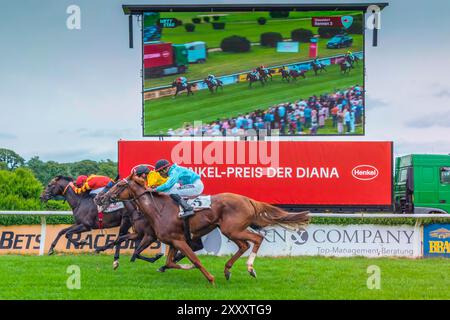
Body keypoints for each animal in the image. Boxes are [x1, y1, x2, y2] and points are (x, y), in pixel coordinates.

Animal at [96, 171, 312, 284]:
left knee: (256, 239)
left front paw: (210, 278)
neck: (158, 209)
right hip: (229, 230)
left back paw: (250, 268)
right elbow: (171, 261)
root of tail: (248, 200)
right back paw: (228, 270)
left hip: (232, 229)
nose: (100, 198)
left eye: (118, 185)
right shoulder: (173, 241)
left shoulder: (174, 239)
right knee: (244, 245)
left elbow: (195, 259)